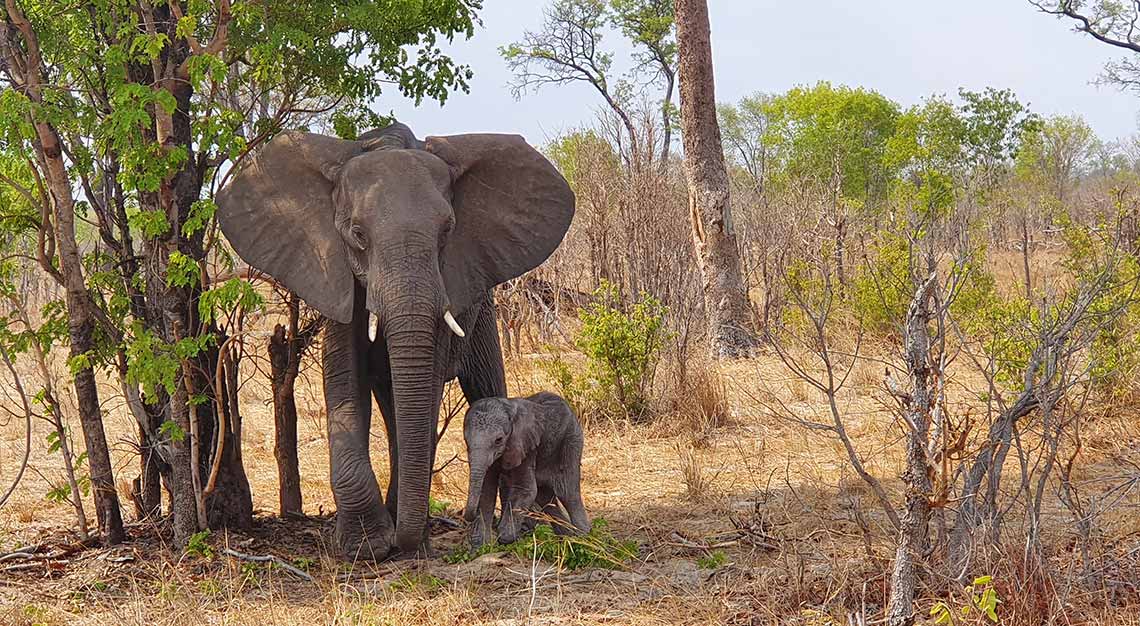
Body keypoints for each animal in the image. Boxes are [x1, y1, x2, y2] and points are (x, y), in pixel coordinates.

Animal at [214, 122, 574, 556]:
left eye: (448, 230)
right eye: (357, 234)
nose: (404, 540)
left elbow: (426, 390)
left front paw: (405, 541)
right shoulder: (339, 278)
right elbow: (344, 380)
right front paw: (365, 546)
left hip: (484, 309)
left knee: (485, 386)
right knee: (391, 404)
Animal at [460, 392, 592, 545]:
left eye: (499, 440)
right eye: (466, 440)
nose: (466, 514)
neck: (508, 407)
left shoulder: (525, 445)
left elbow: (525, 489)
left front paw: (505, 537)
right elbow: (487, 490)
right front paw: (481, 545)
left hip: (571, 441)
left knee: (566, 491)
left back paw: (583, 537)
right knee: (545, 496)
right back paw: (567, 537)